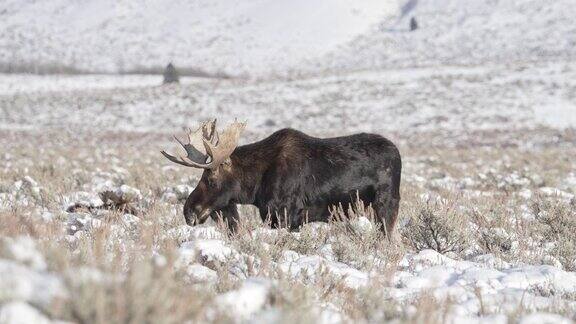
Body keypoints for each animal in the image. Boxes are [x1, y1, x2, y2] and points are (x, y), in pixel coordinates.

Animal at [162, 120, 400, 237]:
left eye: (211, 180)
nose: (188, 211)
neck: (255, 187)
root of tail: (397, 153)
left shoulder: (285, 215)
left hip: (386, 205)